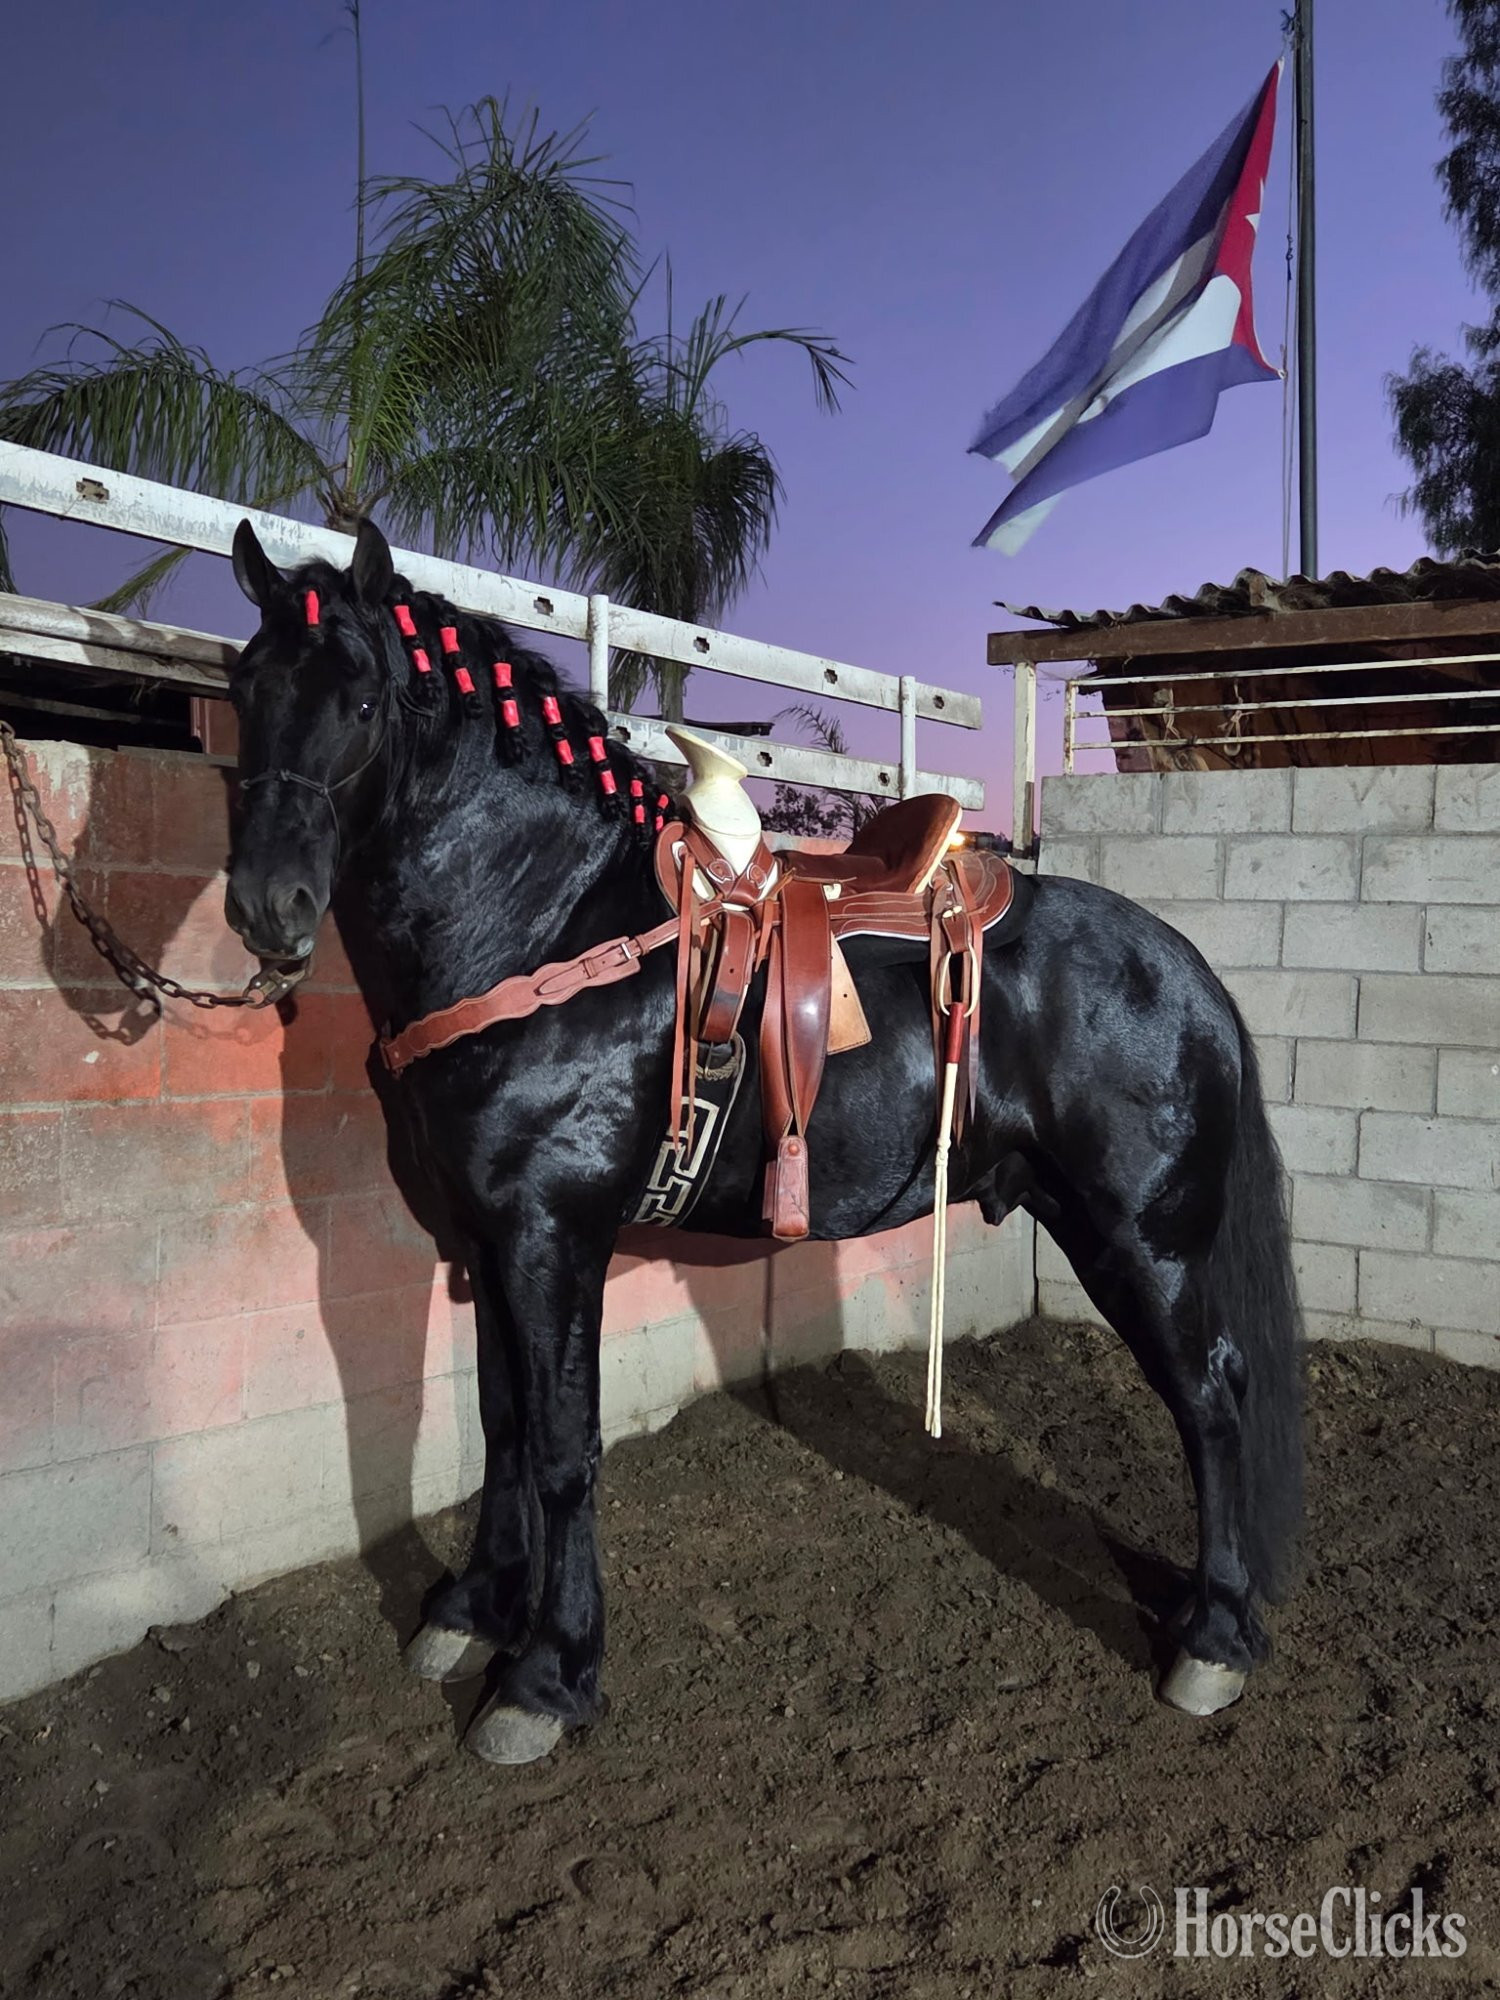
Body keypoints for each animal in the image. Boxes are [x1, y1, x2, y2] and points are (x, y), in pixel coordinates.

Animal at [224, 516, 1303, 1766]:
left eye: (359, 701)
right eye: (245, 687)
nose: (266, 903)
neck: (547, 927)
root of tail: (1185, 965)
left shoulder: (554, 1238)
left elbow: (562, 1448)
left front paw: (547, 1674)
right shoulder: (489, 1239)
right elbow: (502, 1424)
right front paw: (471, 1609)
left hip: (1143, 1239)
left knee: (1210, 1393)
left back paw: (1214, 1636)